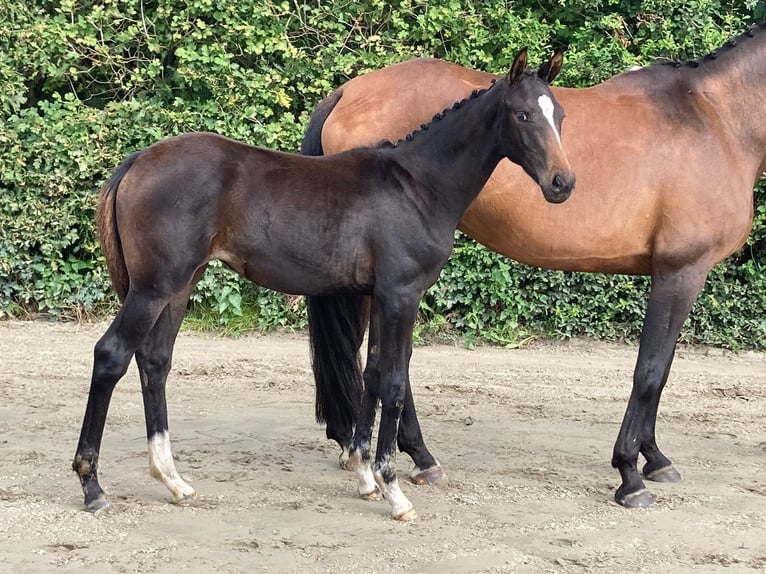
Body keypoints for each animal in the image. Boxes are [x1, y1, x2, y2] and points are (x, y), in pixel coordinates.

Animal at [73, 50, 576, 520]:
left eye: (561, 115)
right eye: (523, 114)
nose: (563, 183)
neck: (416, 186)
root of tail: (137, 160)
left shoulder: (378, 295)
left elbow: (373, 374)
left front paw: (364, 475)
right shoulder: (401, 294)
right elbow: (394, 382)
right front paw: (393, 490)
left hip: (179, 287)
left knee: (155, 362)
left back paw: (173, 481)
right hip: (153, 288)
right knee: (111, 355)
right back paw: (92, 486)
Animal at [304, 23, 766, 508]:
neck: (715, 119)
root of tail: (348, 91)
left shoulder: (679, 276)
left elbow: (663, 367)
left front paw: (654, 458)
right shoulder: (681, 272)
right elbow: (650, 371)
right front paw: (629, 473)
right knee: (388, 365)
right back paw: (417, 458)